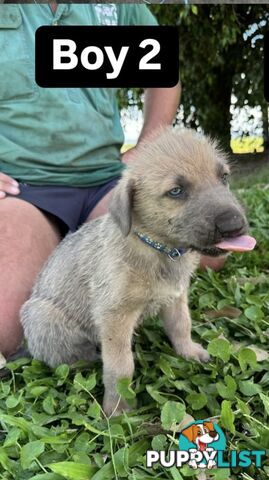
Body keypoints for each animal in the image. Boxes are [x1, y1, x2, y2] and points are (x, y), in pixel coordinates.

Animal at [21, 128, 251, 416]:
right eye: (176, 191)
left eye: (224, 177)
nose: (235, 225)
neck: (159, 249)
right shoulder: (114, 316)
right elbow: (120, 365)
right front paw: (118, 407)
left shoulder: (175, 297)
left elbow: (181, 326)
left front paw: (189, 352)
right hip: (42, 317)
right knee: (68, 359)